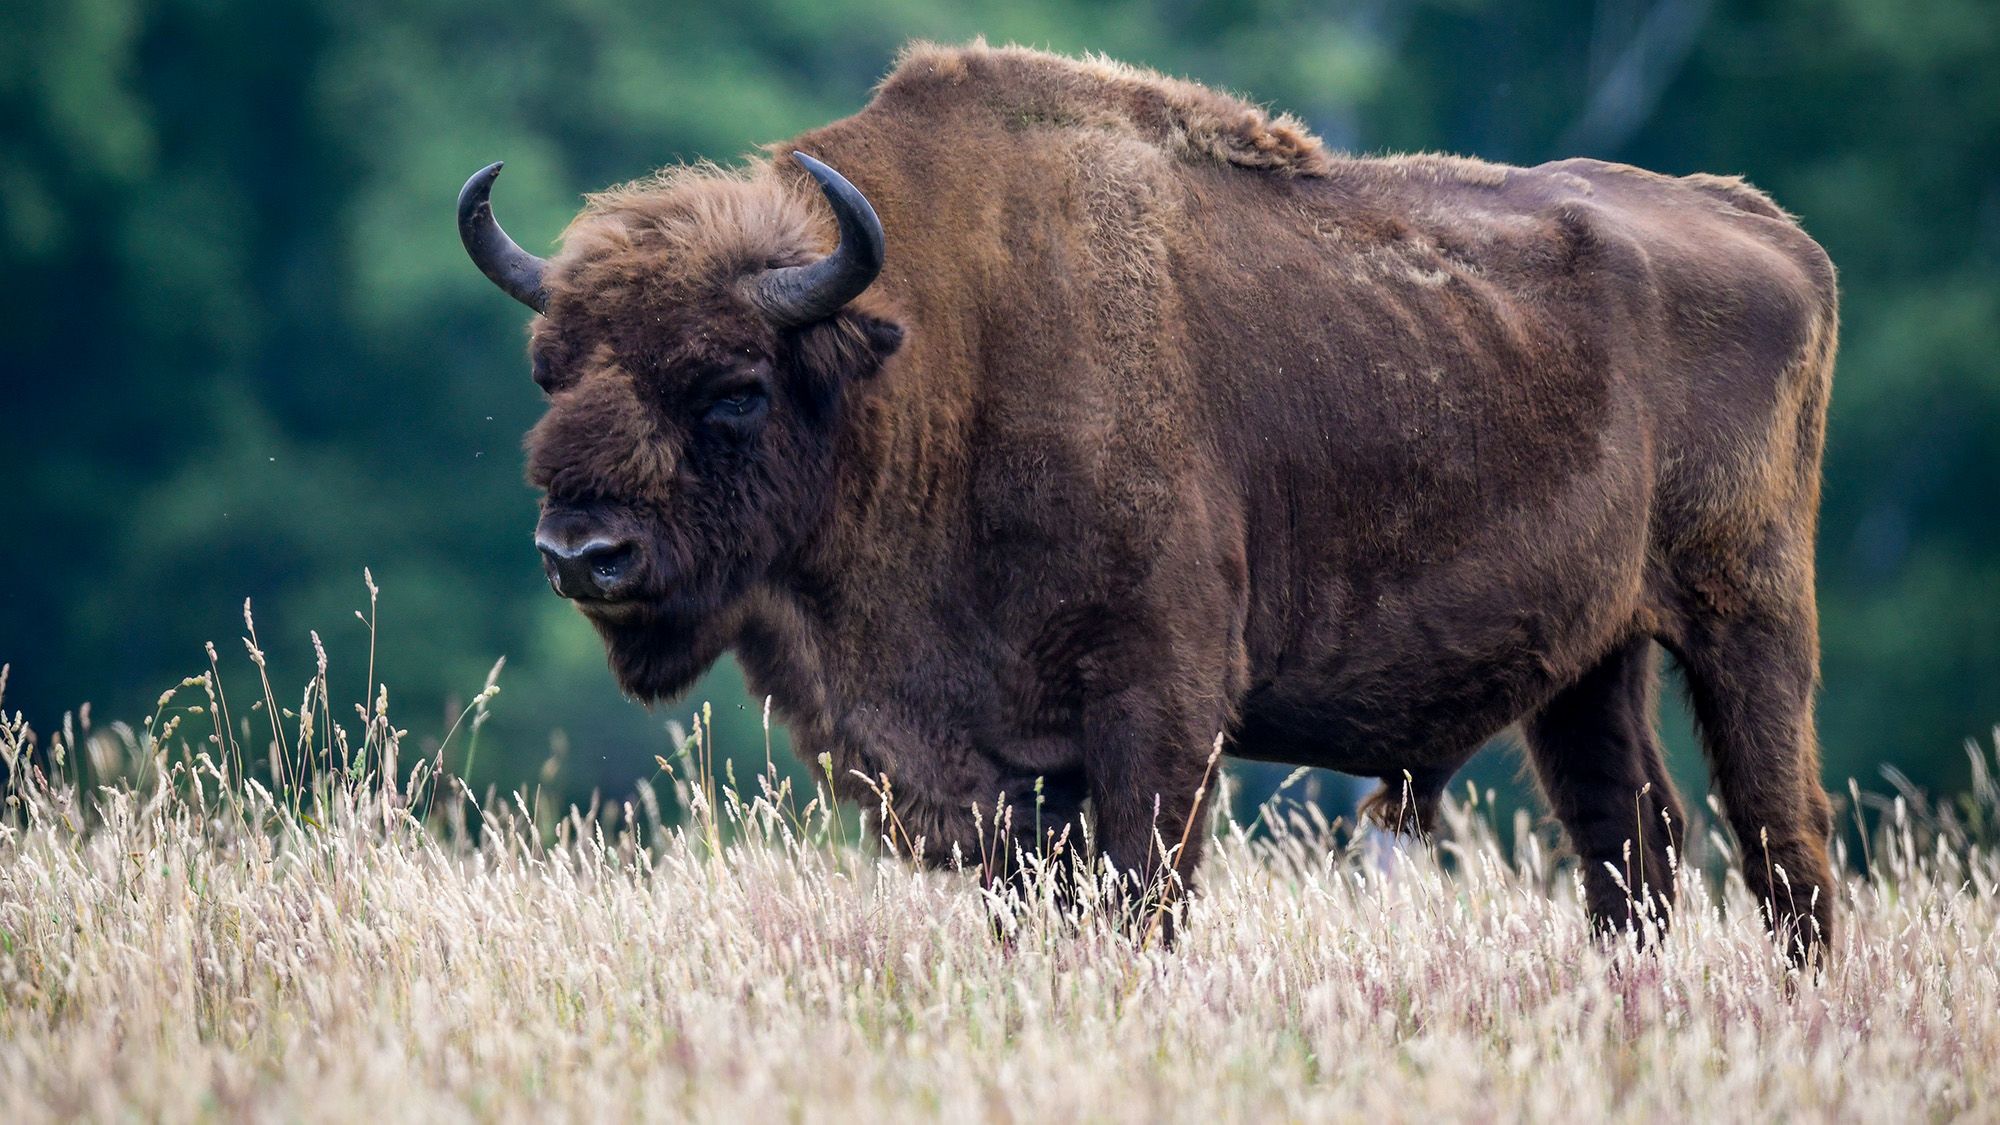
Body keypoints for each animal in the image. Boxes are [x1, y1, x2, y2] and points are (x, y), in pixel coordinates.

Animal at [460, 41, 1832, 952]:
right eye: (551, 370)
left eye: (735, 388)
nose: (583, 552)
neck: (927, 353)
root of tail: (1765, 230)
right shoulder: (1006, 766)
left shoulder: (1157, 705)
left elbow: (1143, 894)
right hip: (1588, 665)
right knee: (1629, 840)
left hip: (1746, 620)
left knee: (1781, 834)